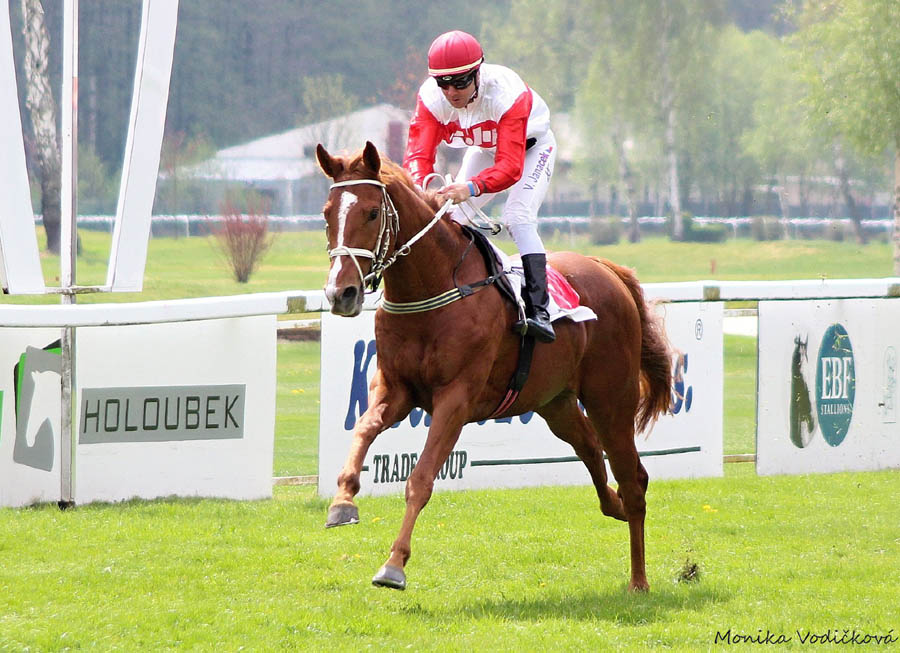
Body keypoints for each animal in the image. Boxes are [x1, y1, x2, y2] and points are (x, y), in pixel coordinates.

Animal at [312, 139, 672, 592]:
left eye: (373, 213)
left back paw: (639, 578)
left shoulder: (455, 399)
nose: (340, 292)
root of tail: (608, 269)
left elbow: (421, 478)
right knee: (591, 450)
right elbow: (362, 430)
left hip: (611, 398)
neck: (432, 289)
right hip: (555, 402)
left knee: (633, 478)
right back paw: (615, 507)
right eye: (327, 213)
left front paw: (393, 565)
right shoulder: (395, 389)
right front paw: (342, 502)